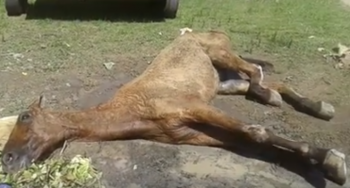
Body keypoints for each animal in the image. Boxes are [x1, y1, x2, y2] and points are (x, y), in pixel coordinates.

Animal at [0, 30, 348, 186]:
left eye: (25, 116)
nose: (8, 160)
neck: (134, 109)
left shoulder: (194, 108)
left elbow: (257, 133)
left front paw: (332, 162)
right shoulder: (191, 132)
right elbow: (254, 144)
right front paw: (323, 162)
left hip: (220, 55)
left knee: (255, 72)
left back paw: (283, 98)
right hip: (223, 81)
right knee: (262, 83)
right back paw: (315, 106)